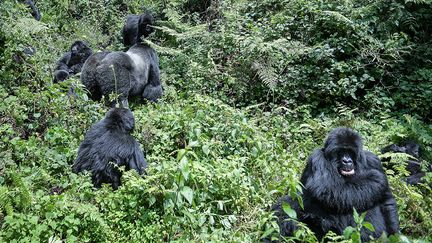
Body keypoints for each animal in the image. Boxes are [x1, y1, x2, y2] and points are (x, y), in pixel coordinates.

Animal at [268, 127, 400, 241]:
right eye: (341, 152)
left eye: (350, 152)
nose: (347, 161)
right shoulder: (317, 158)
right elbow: (328, 189)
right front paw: (374, 180)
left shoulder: (374, 161)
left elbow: (386, 201)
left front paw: (395, 235)